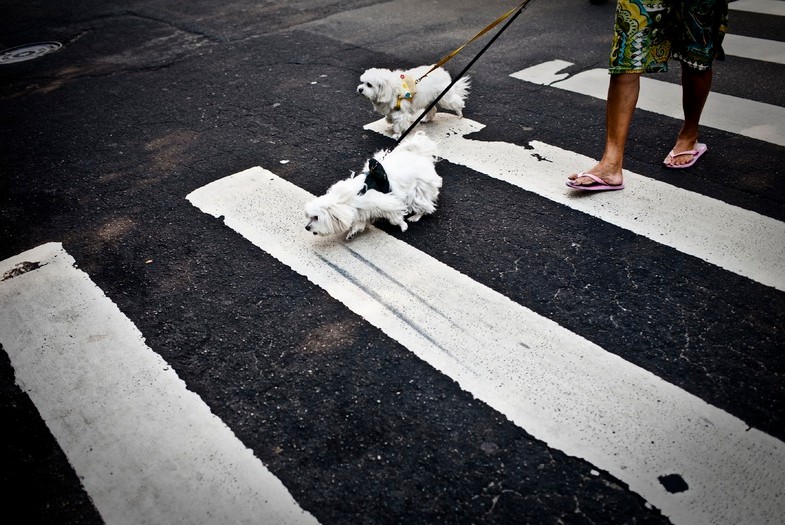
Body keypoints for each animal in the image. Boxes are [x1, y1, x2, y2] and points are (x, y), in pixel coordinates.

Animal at [304, 132, 440, 241]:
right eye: (309, 217)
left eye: (316, 217)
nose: (306, 227)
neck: (349, 199)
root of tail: (419, 154)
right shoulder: (363, 210)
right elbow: (360, 222)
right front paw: (352, 232)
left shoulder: (386, 203)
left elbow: (395, 217)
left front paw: (403, 225)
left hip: (418, 191)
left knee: (424, 205)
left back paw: (416, 216)